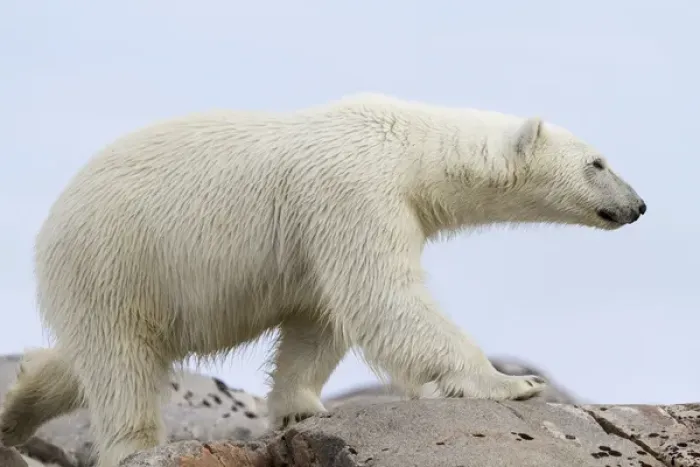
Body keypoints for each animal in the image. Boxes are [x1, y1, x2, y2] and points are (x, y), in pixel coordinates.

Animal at [0, 93, 646, 467]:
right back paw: (134, 444)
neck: (407, 147)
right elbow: (381, 297)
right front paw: (513, 382)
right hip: (116, 258)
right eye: (597, 162)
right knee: (121, 363)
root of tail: (53, 221)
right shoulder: (353, 192)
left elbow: (320, 318)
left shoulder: (323, 228)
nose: (638, 205)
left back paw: (15, 410)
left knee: (84, 360)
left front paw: (299, 410)